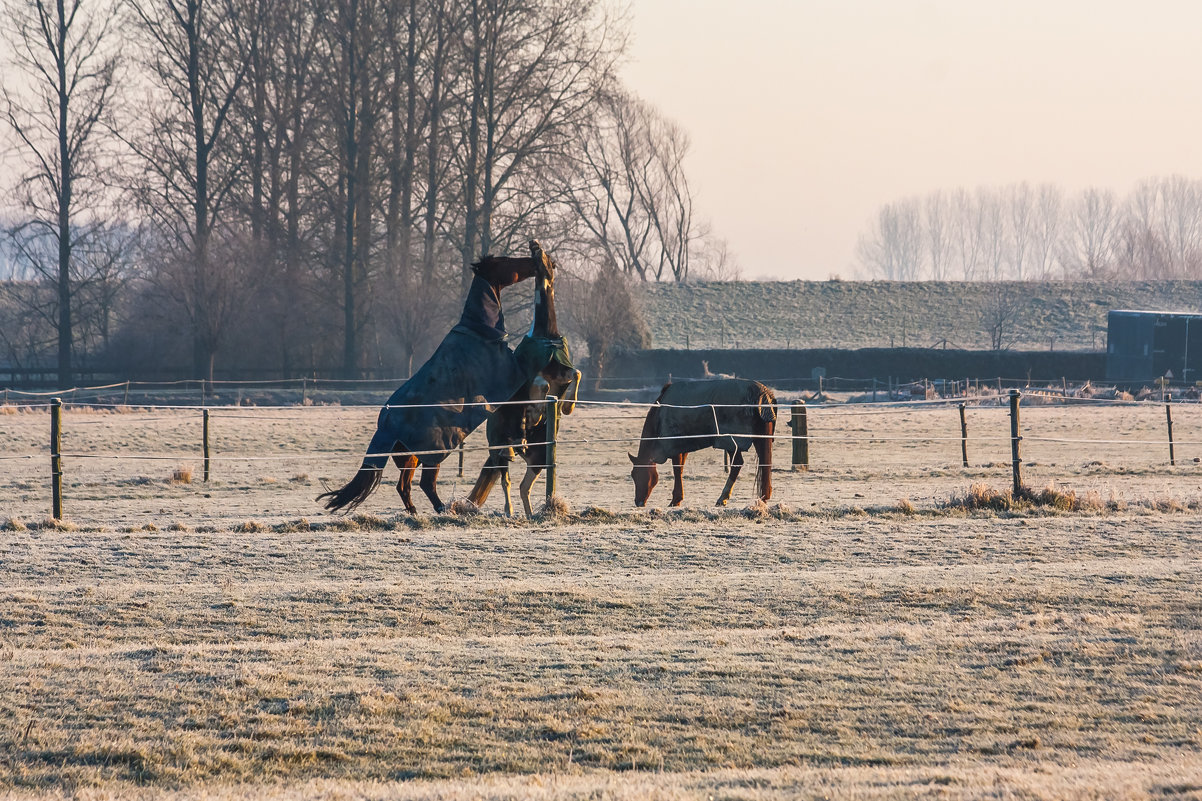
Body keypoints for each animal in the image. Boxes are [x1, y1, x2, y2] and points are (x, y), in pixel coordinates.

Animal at [314, 240, 550, 512]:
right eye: (506, 261)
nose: (533, 260)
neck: (480, 331)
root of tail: (386, 425)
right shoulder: (511, 371)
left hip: (411, 457)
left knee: (404, 486)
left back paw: (417, 513)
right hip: (431, 455)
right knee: (426, 484)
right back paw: (445, 510)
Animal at [463, 240, 581, 514]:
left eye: (549, 259)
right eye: (539, 256)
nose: (534, 244)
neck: (546, 335)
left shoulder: (562, 372)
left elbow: (576, 373)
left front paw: (566, 406)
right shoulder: (530, 378)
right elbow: (540, 384)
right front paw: (536, 413)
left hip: (538, 460)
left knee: (523, 487)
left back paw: (529, 515)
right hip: (499, 450)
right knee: (506, 481)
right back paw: (510, 510)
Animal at [629, 380, 778, 505]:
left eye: (636, 474)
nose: (638, 502)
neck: (659, 414)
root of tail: (765, 395)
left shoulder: (674, 444)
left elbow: (677, 470)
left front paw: (675, 500)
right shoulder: (683, 446)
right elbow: (680, 469)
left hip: (731, 441)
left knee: (737, 464)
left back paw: (723, 497)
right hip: (760, 439)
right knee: (765, 463)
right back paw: (764, 496)